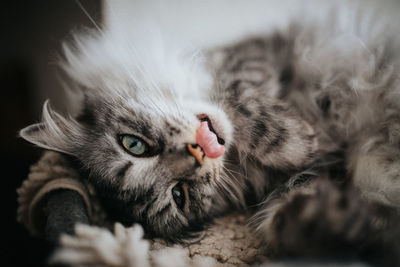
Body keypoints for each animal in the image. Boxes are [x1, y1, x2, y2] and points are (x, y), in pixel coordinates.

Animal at [18, 1, 400, 266]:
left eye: (134, 145)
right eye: (179, 194)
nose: (198, 151)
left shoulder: (253, 56)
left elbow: (236, 95)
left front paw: (295, 140)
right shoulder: (315, 174)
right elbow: (288, 207)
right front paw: (322, 220)